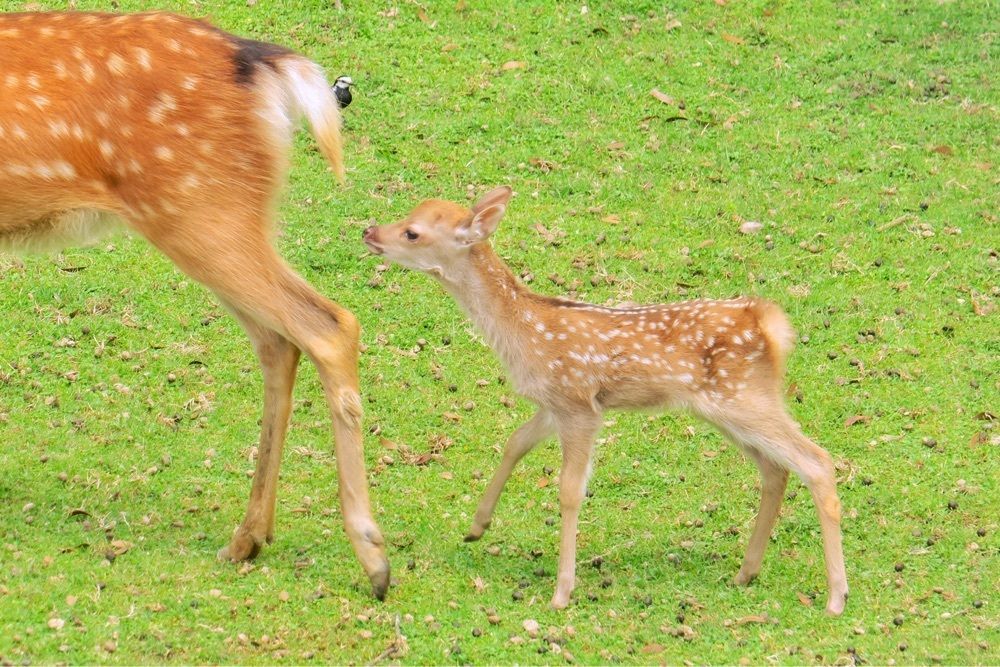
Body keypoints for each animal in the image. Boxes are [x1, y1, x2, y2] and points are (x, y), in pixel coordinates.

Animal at [0, 11, 390, 599]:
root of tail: (263, 65)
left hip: (199, 205)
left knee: (328, 325)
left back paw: (373, 559)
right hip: (221, 211)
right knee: (279, 342)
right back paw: (248, 538)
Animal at [363, 186, 849, 614]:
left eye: (412, 232)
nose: (369, 231)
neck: (522, 333)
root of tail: (770, 325)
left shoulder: (579, 402)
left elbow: (569, 490)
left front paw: (562, 592)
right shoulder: (554, 403)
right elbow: (515, 442)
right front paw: (476, 526)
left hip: (741, 396)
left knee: (817, 462)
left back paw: (836, 596)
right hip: (731, 406)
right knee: (775, 468)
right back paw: (746, 572)